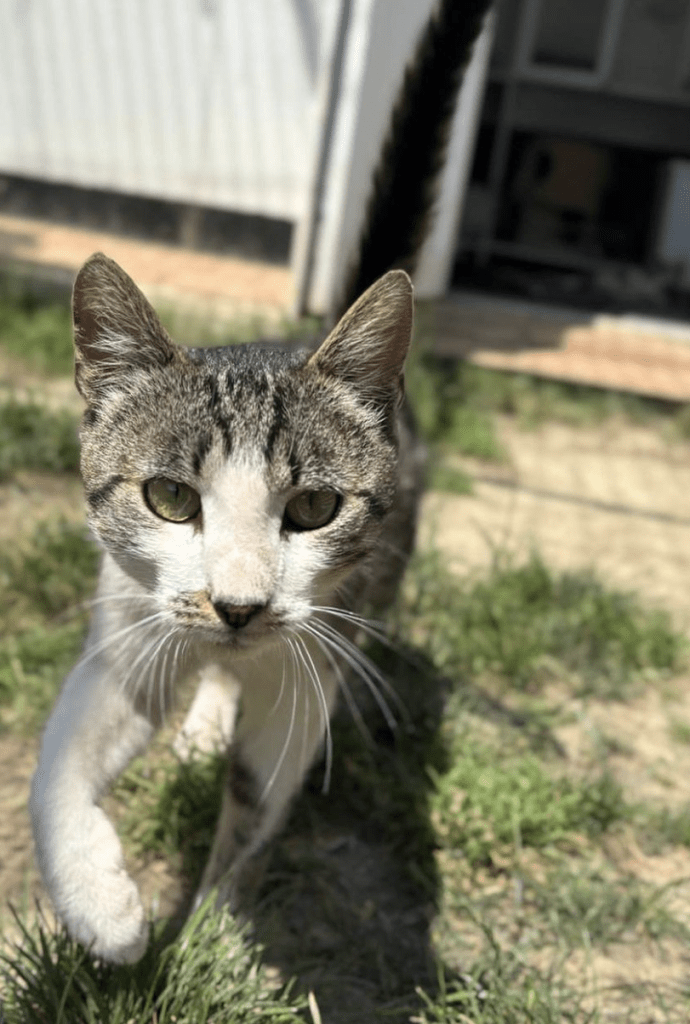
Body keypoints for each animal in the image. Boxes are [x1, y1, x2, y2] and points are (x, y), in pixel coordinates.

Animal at [28, 0, 489, 958]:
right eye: (169, 498)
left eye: (314, 507)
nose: (237, 607)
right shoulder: (128, 618)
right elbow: (58, 760)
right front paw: (102, 907)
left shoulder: (310, 666)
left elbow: (255, 796)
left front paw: (213, 936)